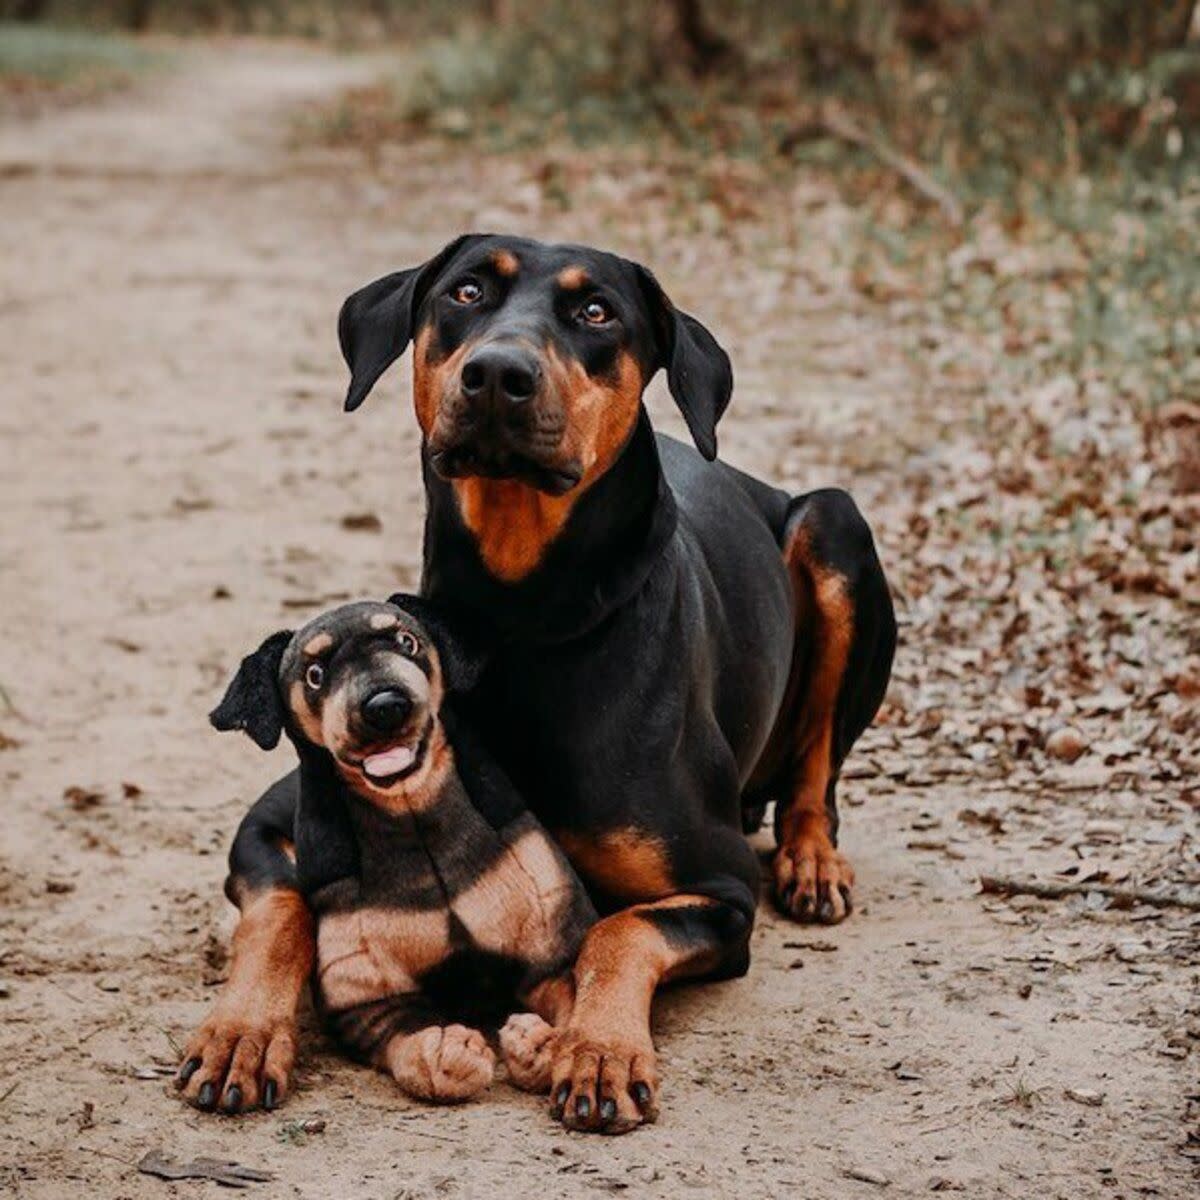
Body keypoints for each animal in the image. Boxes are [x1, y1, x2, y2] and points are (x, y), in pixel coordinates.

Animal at [181, 595, 595, 1108]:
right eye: (314, 674)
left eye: (406, 640)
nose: (385, 706)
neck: (413, 817)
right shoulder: (368, 1002)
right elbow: (408, 1037)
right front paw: (446, 1052)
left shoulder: (553, 958)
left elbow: (575, 1007)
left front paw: (545, 1046)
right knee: (278, 912)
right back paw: (240, 1039)